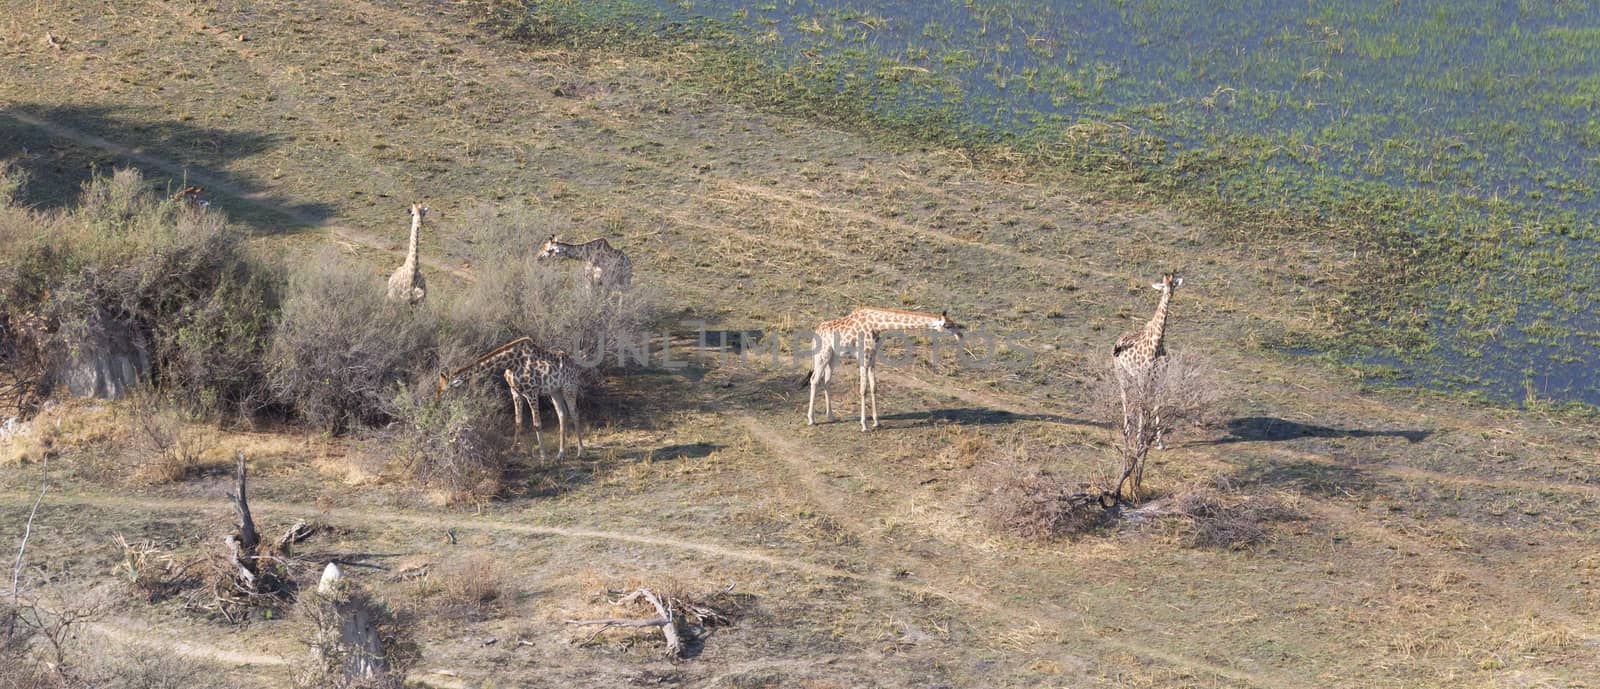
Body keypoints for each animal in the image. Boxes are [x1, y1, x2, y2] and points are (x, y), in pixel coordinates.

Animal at [435, 337, 585, 460]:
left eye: (443, 391)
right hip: (555, 391)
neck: (510, 363)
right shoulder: (515, 392)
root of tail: (575, 366)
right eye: (438, 388)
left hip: (569, 387)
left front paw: (543, 456)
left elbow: (537, 424)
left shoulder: (531, 391)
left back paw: (580, 451)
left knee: (575, 413)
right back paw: (560, 454)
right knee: (562, 414)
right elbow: (518, 421)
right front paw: (513, 449)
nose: (436, 404)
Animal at [800, 306, 960, 431]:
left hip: (834, 357)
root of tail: (815, 333)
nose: (960, 335)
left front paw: (877, 422)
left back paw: (831, 416)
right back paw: (811, 420)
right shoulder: (863, 357)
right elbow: (863, 389)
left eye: (954, 323)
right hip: (822, 355)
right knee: (814, 380)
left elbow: (873, 387)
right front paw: (864, 425)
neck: (876, 325)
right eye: (947, 325)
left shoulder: (872, 358)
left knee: (826, 381)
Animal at [1113, 271, 1190, 450]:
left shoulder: (1160, 377)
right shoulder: (1143, 377)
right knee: (1124, 397)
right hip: (1121, 373)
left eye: (1173, 285)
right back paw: (1127, 431)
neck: (1157, 344)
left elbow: (1156, 404)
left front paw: (1160, 442)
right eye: (1163, 286)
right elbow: (1143, 405)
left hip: (1133, 376)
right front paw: (1140, 440)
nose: (1169, 294)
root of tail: (1117, 340)